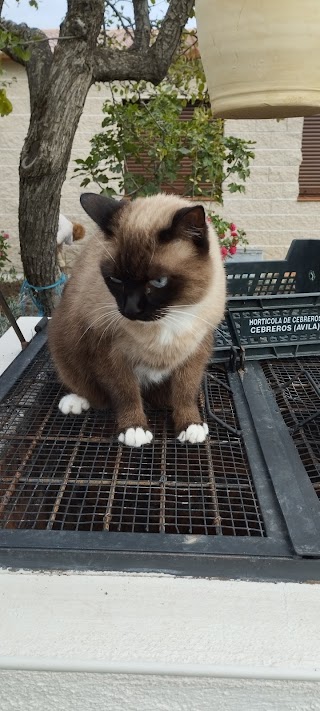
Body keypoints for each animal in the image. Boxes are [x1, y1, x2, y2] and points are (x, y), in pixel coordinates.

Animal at [48, 192, 226, 448]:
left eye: (159, 282)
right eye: (115, 280)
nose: (130, 310)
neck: (170, 319)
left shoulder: (195, 351)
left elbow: (185, 392)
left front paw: (190, 426)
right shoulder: (110, 353)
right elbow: (126, 393)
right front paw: (134, 429)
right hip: (63, 345)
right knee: (87, 389)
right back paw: (74, 402)